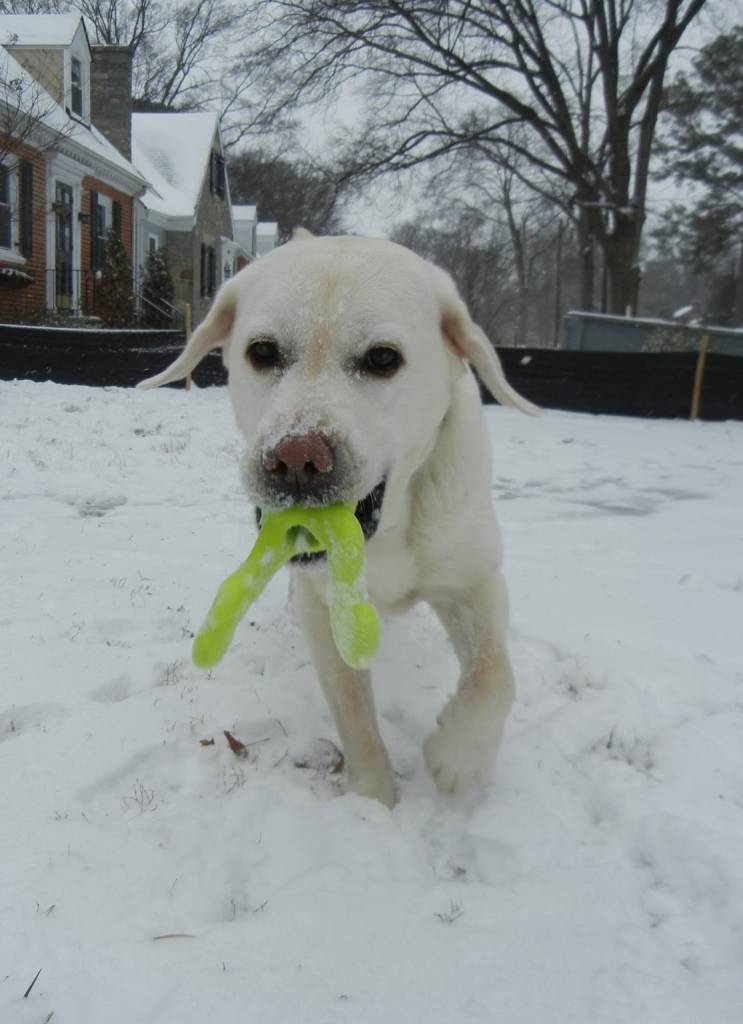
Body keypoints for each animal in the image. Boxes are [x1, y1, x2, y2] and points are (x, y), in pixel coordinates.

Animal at [139, 234, 540, 806]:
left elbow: (494, 674)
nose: (296, 457)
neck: (387, 526)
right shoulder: (325, 604)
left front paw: (460, 756)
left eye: (383, 358)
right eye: (263, 351)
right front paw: (374, 800)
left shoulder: (472, 579)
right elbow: (353, 712)